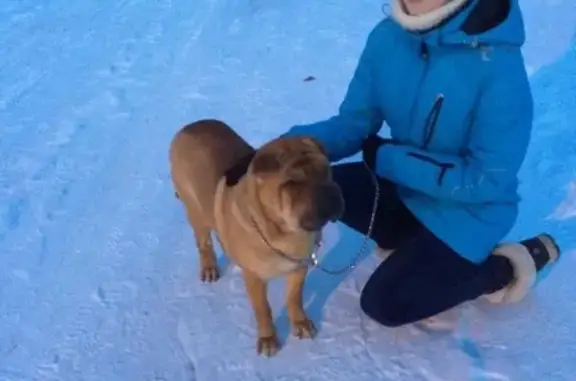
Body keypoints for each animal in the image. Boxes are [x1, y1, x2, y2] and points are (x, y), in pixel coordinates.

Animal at [169, 119, 344, 356]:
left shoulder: (299, 267)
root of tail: (190, 126)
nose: (330, 194)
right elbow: (263, 309)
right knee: (203, 242)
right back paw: (209, 267)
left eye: (326, 169)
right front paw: (268, 339)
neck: (286, 234)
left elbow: (294, 297)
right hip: (195, 211)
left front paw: (300, 323)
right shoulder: (255, 278)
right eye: (292, 183)